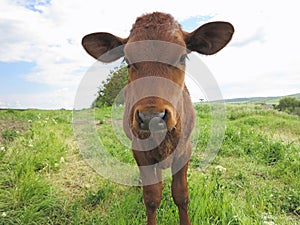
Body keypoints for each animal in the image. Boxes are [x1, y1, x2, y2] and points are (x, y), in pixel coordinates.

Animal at [82, 12, 234, 225]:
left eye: (182, 56)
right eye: (127, 60)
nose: (151, 116)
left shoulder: (185, 150)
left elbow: (181, 195)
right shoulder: (139, 150)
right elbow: (152, 197)